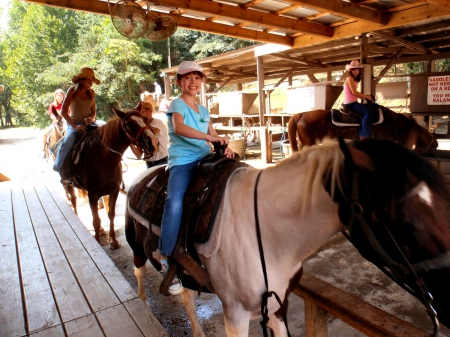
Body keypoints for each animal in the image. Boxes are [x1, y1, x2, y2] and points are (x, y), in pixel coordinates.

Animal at [62, 109, 159, 248]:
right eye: (129, 124)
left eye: (145, 119)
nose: (154, 142)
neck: (103, 158)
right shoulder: (93, 194)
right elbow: (96, 220)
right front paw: (97, 241)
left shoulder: (114, 191)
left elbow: (111, 215)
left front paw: (113, 240)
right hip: (68, 184)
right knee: (74, 200)